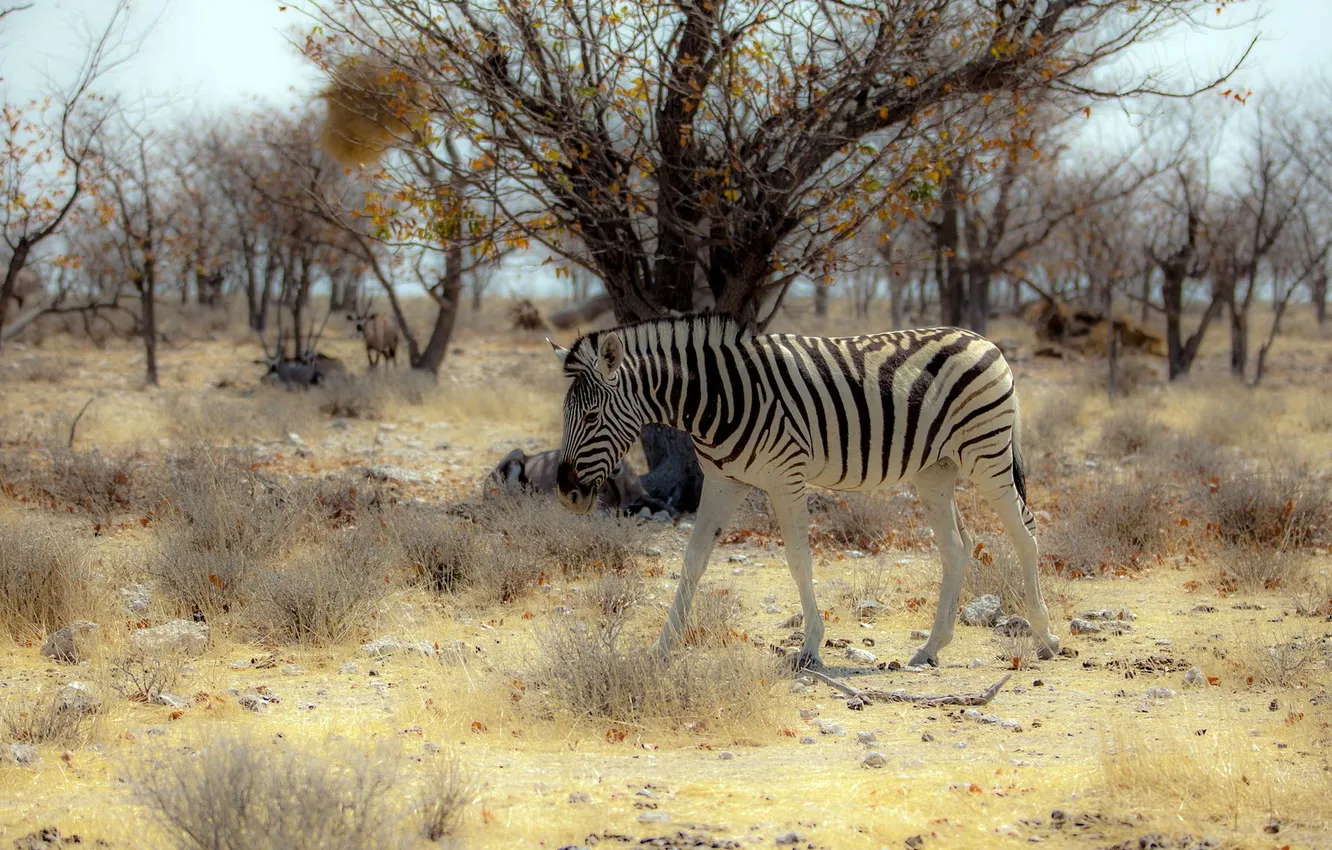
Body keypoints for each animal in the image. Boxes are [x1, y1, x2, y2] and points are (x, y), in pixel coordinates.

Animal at [550, 314, 1059, 670]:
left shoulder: (785, 476)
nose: (566, 494)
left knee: (1025, 533)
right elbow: (692, 562)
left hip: (986, 453)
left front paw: (811, 648)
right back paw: (932, 648)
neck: (719, 398)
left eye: (592, 417)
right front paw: (662, 647)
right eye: (565, 415)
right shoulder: (722, 481)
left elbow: (798, 559)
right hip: (935, 469)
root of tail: (984, 340)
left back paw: (1046, 638)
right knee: (956, 546)